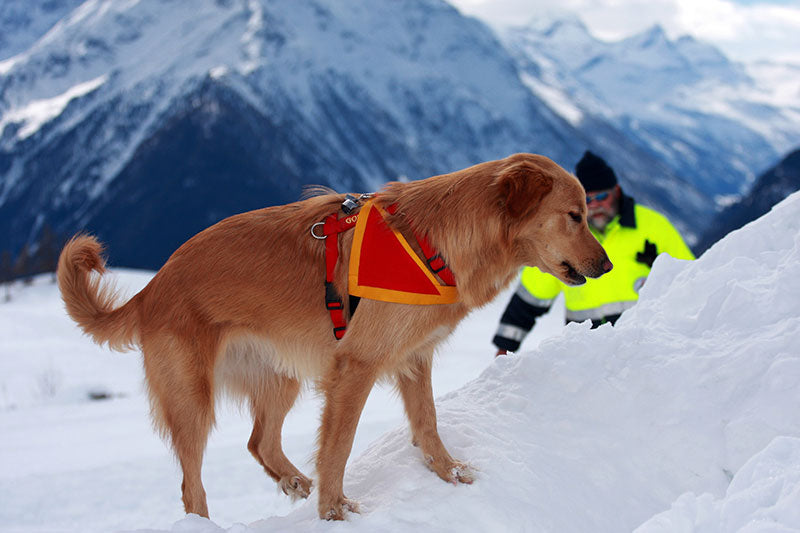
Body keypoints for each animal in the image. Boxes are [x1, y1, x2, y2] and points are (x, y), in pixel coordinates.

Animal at [57, 152, 612, 516]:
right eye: (575, 216)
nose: (608, 266)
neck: (431, 240)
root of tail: (152, 288)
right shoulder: (355, 368)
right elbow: (339, 447)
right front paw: (333, 513)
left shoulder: (414, 361)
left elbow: (428, 424)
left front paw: (449, 474)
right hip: (192, 400)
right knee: (193, 489)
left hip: (280, 378)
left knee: (260, 442)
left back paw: (294, 482)